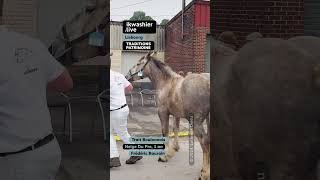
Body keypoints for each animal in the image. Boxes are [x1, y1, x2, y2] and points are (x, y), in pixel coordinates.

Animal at [126, 52, 211, 180]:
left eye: (138, 63)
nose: (127, 76)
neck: (166, 83)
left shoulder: (162, 113)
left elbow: (164, 132)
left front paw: (164, 156)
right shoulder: (176, 114)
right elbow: (175, 129)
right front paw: (175, 148)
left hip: (196, 122)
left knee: (204, 141)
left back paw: (205, 173)